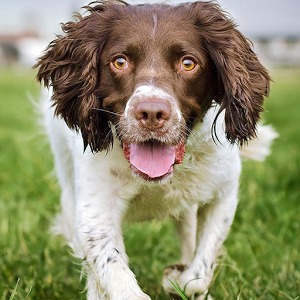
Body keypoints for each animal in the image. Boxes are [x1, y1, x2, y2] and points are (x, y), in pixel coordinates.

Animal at [34, 1, 276, 298]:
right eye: (120, 62)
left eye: (188, 63)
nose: (151, 113)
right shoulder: (94, 212)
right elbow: (113, 271)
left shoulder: (223, 194)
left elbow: (200, 268)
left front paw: (178, 279)